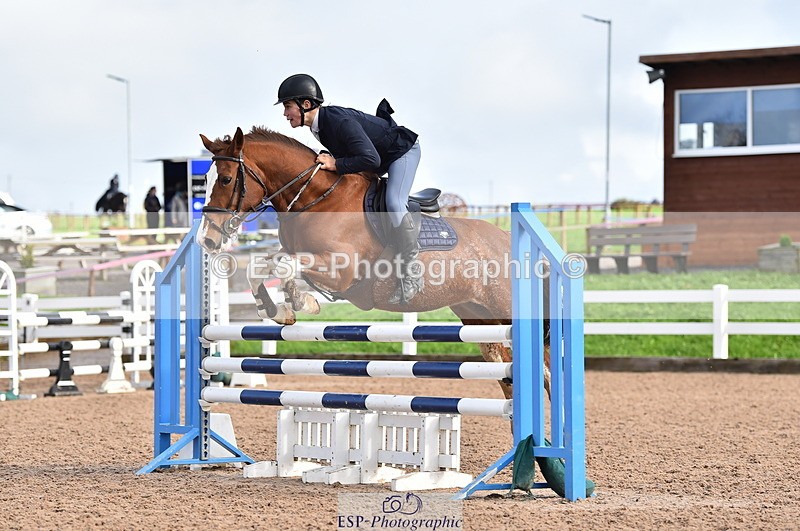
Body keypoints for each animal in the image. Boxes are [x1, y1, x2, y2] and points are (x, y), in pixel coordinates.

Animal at [198, 126, 550, 399]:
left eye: (226, 179)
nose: (206, 240)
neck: (316, 198)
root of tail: (507, 238)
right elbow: (261, 266)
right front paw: (277, 309)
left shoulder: (341, 270)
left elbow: (285, 267)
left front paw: (300, 302)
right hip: (479, 318)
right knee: (508, 372)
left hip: (505, 309)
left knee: (544, 367)